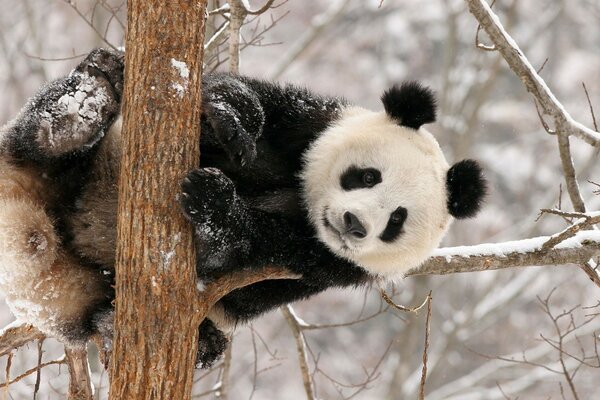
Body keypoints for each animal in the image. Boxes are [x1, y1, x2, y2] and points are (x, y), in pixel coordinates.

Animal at [0, 48, 488, 368]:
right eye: (368, 176)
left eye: (396, 221)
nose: (353, 223)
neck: (303, 201)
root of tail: (34, 237)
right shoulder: (309, 123)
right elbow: (242, 102)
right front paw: (233, 119)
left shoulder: (324, 265)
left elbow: (242, 265)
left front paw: (215, 203)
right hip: (62, 164)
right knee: (37, 141)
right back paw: (84, 101)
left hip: (81, 290)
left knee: (93, 313)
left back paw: (136, 328)